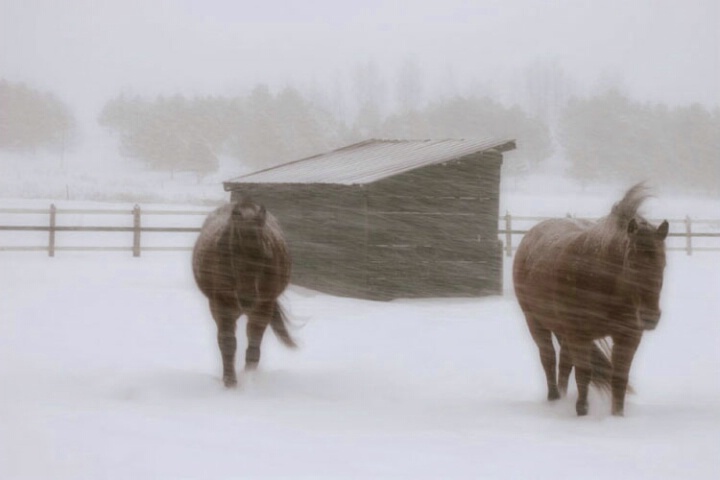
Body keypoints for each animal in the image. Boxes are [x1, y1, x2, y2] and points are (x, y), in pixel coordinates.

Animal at [191, 195, 296, 386]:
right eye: (231, 253)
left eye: (265, 254)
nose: (247, 299)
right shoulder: (221, 306)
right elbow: (228, 343)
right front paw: (230, 382)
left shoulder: (262, 308)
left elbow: (253, 346)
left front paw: (249, 377)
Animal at [512, 184, 668, 416]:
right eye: (631, 263)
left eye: (663, 264)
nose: (650, 318)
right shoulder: (579, 334)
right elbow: (584, 372)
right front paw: (582, 411)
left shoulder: (628, 336)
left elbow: (619, 377)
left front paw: (617, 416)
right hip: (535, 321)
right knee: (549, 358)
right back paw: (554, 399)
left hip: (563, 331)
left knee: (565, 363)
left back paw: (562, 397)